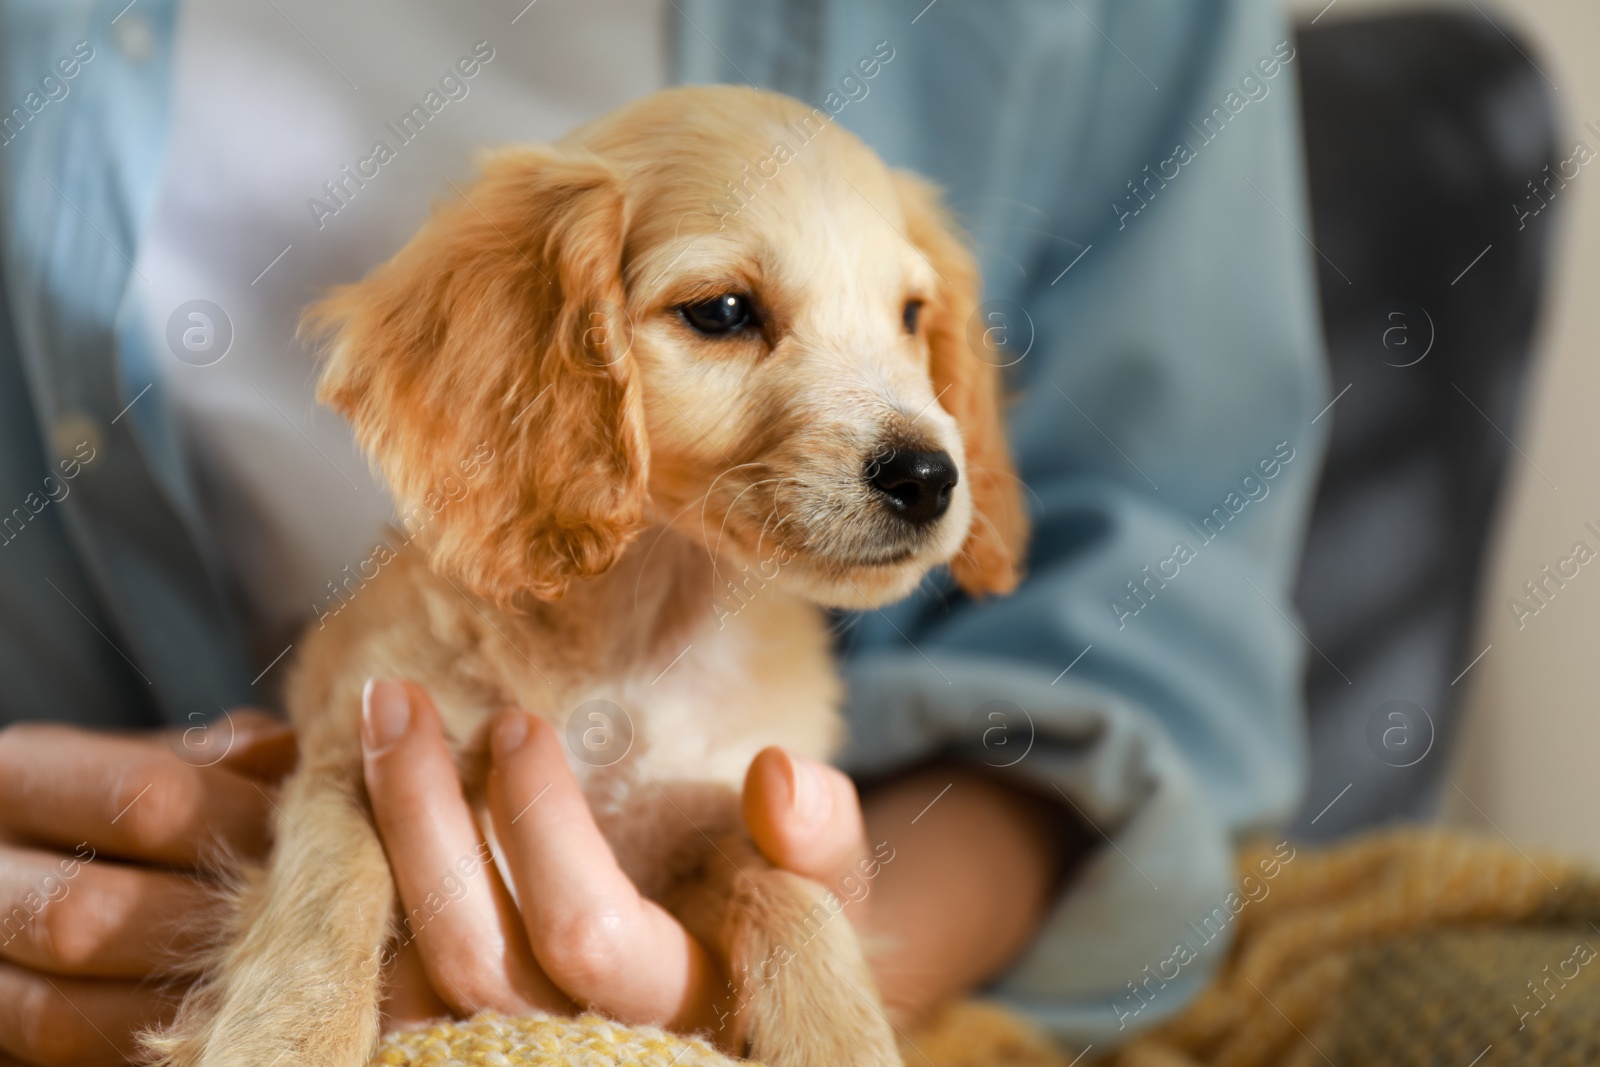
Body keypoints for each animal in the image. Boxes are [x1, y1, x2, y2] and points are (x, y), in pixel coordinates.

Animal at [150, 87, 1024, 1067]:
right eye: (723, 310)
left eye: (911, 314)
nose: (929, 476)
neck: (644, 633)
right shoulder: (352, 747)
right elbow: (325, 897)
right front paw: (284, 1038)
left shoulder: (717, 821)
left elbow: (792, 892)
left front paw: (842, 1032)